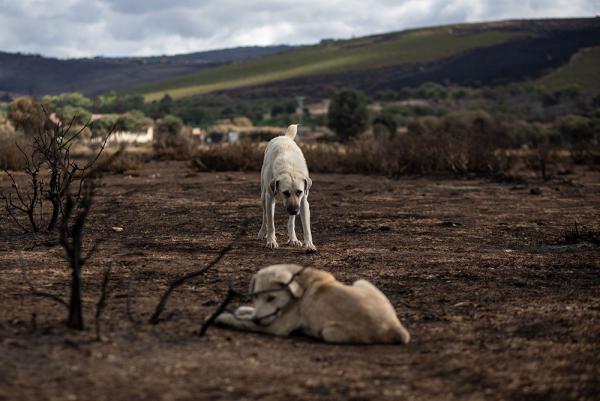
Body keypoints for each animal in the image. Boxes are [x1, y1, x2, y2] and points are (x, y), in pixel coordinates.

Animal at [213, 262, 410, 344]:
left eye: (271, 298)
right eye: (254, 297)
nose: (257, 320)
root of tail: (395, 328)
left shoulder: (276, 327)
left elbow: (241, 321)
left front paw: (221, 316)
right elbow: (247, 313)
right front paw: (242, 310)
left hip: (329, 333)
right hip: (362, 282)